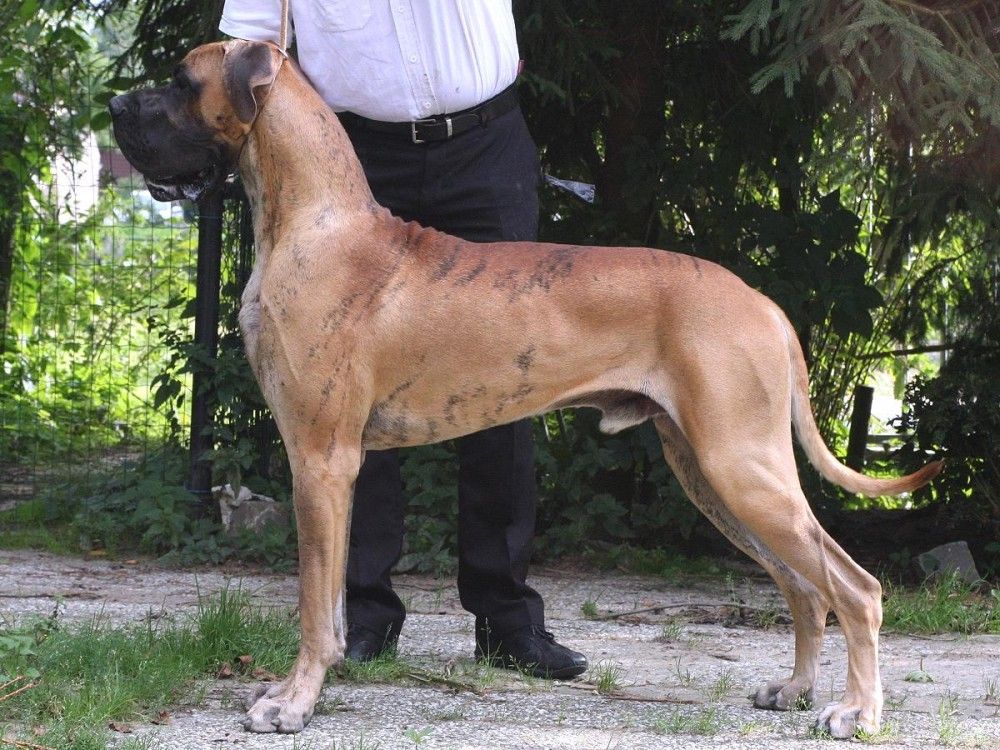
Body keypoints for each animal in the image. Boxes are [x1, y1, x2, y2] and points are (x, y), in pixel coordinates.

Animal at [109, 40, 941, 737]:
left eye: (181, 82)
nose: (115, 106)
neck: (313, 220)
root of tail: (763, 303)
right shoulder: (330, 467)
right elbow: (334, 603)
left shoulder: (319, 460)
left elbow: (316, 605)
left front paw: (293, 703)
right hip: (711, 474)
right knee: (805, 587)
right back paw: (795, 689)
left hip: (741, 468)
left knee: (854, 587)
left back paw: (856, 712)